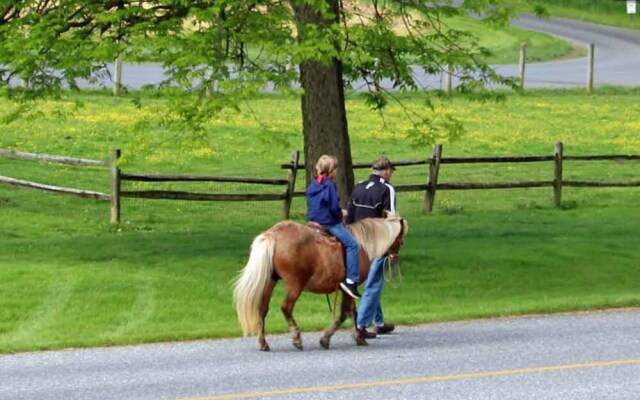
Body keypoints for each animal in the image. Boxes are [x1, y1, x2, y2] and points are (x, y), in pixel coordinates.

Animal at [232, 216, 408, 350]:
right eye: (400, 239)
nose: (395, 257)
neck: (362, 245)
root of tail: (272, 235)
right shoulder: (350, 287)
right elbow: (345, 313)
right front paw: (326, 339)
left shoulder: (347, 289)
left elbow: (352, 312)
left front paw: (358, 337)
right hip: (295, 284)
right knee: (286, 307)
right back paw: (296, 338)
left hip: (270, 281)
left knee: (262, 310)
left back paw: (263, 343)